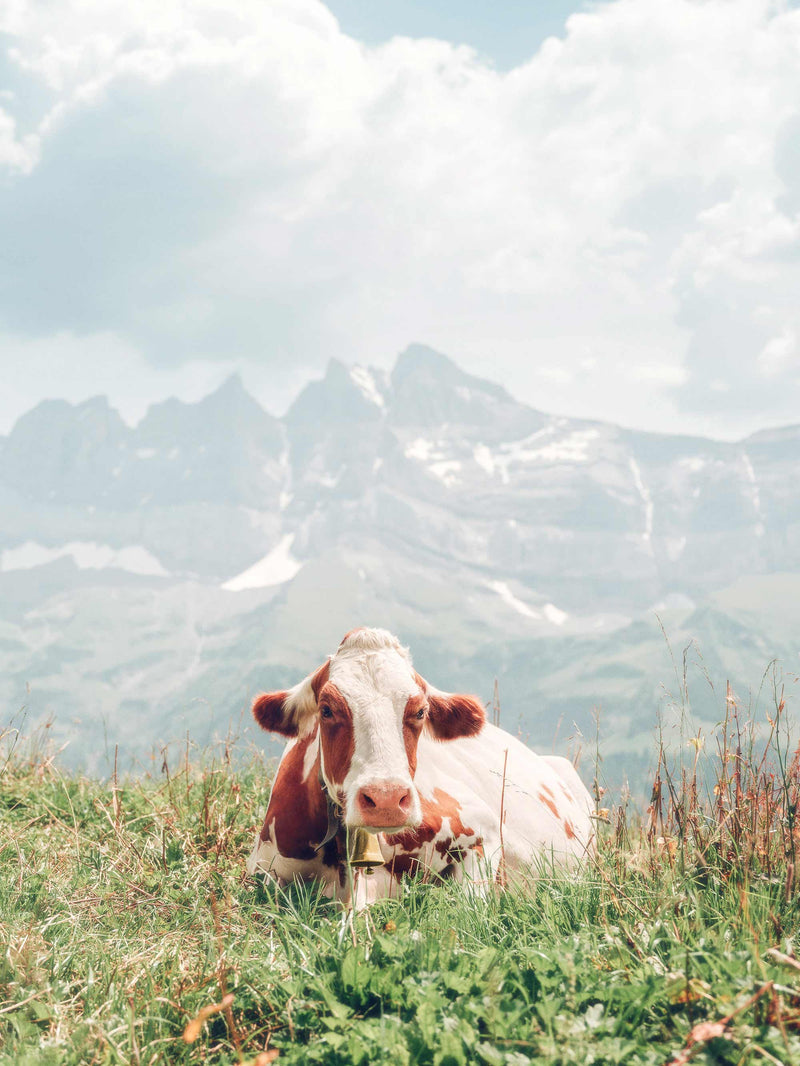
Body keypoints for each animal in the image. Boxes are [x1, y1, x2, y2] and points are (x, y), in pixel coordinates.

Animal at [247, 627, 594, 906]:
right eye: (327, 709)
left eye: (420, 711)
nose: (386, 799)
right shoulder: (263, 872)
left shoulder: (484, 830)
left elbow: (468, 908)